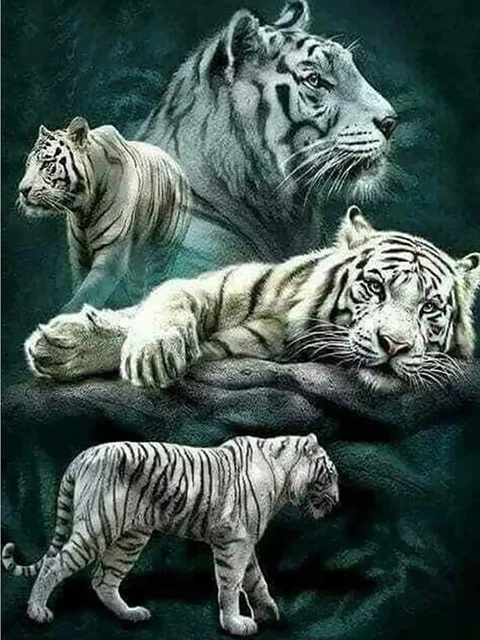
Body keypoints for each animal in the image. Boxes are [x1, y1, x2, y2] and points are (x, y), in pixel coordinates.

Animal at [2, 434, 339, 636]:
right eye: (330, 476)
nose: (337, 501)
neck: (283, 478)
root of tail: (84, 455)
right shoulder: (233, 541)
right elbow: (231, 584)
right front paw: (236, 624)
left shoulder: (244, 540)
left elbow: (255, 580)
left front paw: (269, 613)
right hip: (97, 528)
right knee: (55, 563)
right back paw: (36, 611)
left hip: (130, 538)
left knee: (103, 579)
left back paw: (130, 614)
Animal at [18, 116, 191, 313]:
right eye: (28, 165)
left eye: (47, 164)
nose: (23, 190)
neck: (82, 210)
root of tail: (178, 167)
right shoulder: (79, 256)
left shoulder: (110, 258)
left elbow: (86, 295)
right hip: (137, 266)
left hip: (162, 254)